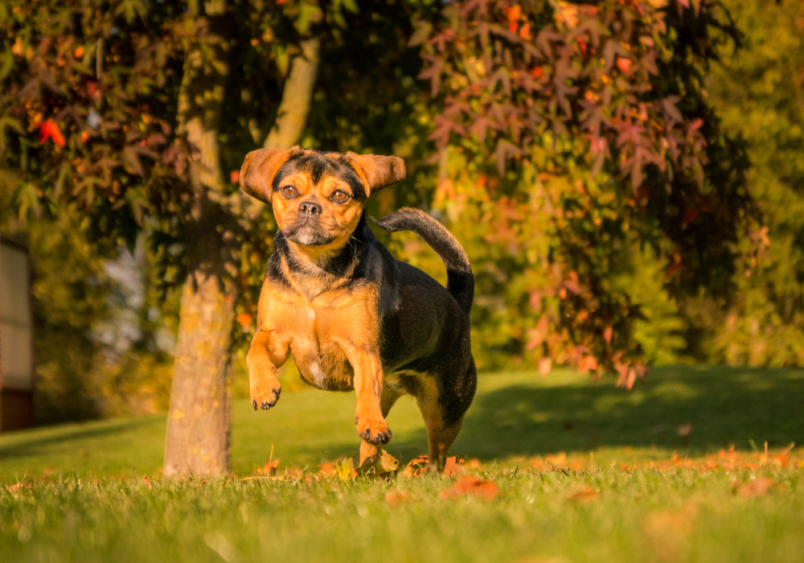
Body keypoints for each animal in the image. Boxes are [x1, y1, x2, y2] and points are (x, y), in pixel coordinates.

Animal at [239, 147, 478, 472]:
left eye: (339, 195)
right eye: (289, 190)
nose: (309, 207)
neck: (315, 268)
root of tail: (458, 303)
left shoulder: (361, 348)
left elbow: (365, 388)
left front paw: (371, 422)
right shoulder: (275, 336)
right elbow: (255, 350)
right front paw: (263, 388)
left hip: (444, 411)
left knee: (436, 455)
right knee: (372, 446)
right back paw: (364, 467)